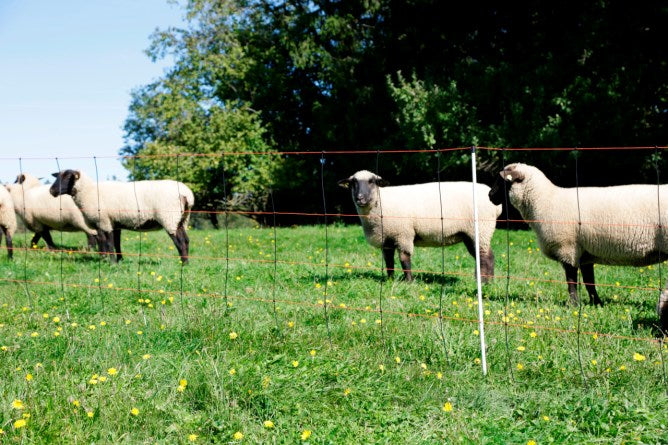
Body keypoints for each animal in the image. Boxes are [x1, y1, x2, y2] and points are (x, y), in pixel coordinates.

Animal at [49, 168, 196, 262]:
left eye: (68, 177)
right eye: (57, 177)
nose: (51, 191)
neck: (89, 191)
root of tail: (187, 194)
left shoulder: (104, 221)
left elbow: (107, 243)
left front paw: (111, 262)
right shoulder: (115, 223)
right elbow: (116, 243)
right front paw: (119, 260)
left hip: (169, 218)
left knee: (180, 241)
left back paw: (183, 264)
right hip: (181, 219)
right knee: (186, 240)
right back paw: (186, 262)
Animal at [340, 170, 500, 280]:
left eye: (372, 181)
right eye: (353, 183)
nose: (360, 198)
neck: (381, 202)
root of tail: (497, 206)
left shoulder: (403, 234)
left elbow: (404, 259)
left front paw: (408, 281)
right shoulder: (387, 238)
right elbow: (389, 261)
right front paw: (389, 280)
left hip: (481, 229)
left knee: (486, 257)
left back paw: (486, 283)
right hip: (471, 234)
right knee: (482, 256)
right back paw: (484, 281)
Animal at [486, 162, 668, 330]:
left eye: (502, 181)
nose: (489, 196)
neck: (544, 201)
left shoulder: (568, 248)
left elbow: (571, 280)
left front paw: (574, 304)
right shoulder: (585, 252)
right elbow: (589, 282)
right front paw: (597, 303)